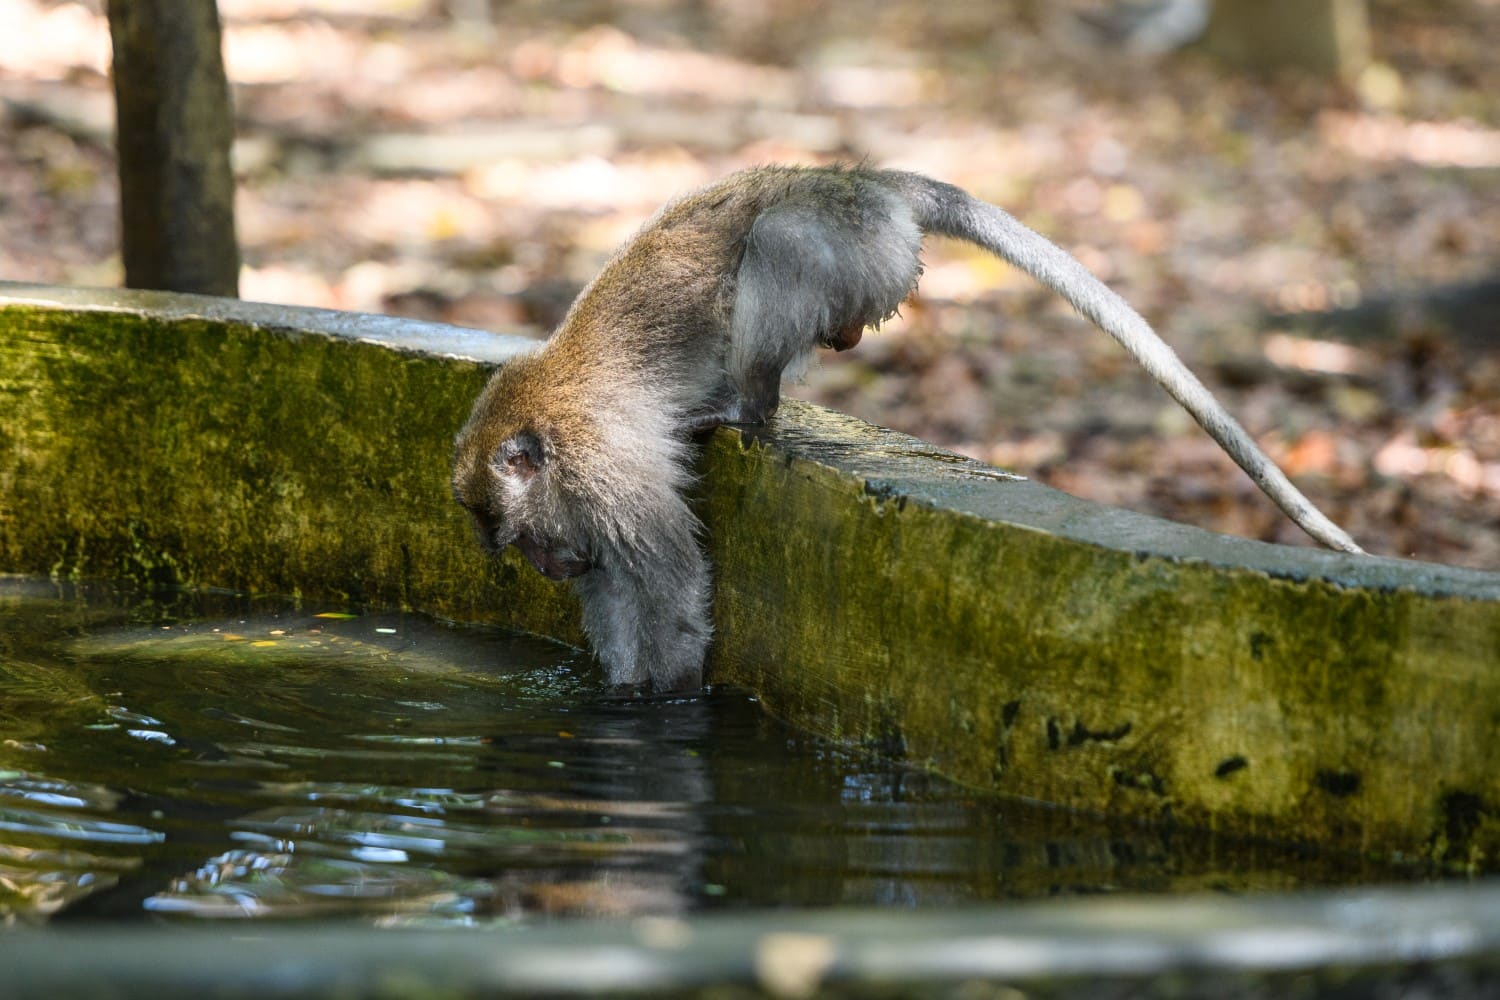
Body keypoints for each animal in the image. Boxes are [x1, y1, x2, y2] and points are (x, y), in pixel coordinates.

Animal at [452, 164, 1362, 692]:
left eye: (519, 537)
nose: (546, 567)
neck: (540, 423)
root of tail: (858, 178)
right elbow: (618, 591)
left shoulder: (607, 477)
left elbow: (669, 591)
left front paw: (653, 708)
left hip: (853, 242)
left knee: (779, 239)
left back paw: (750, 405)